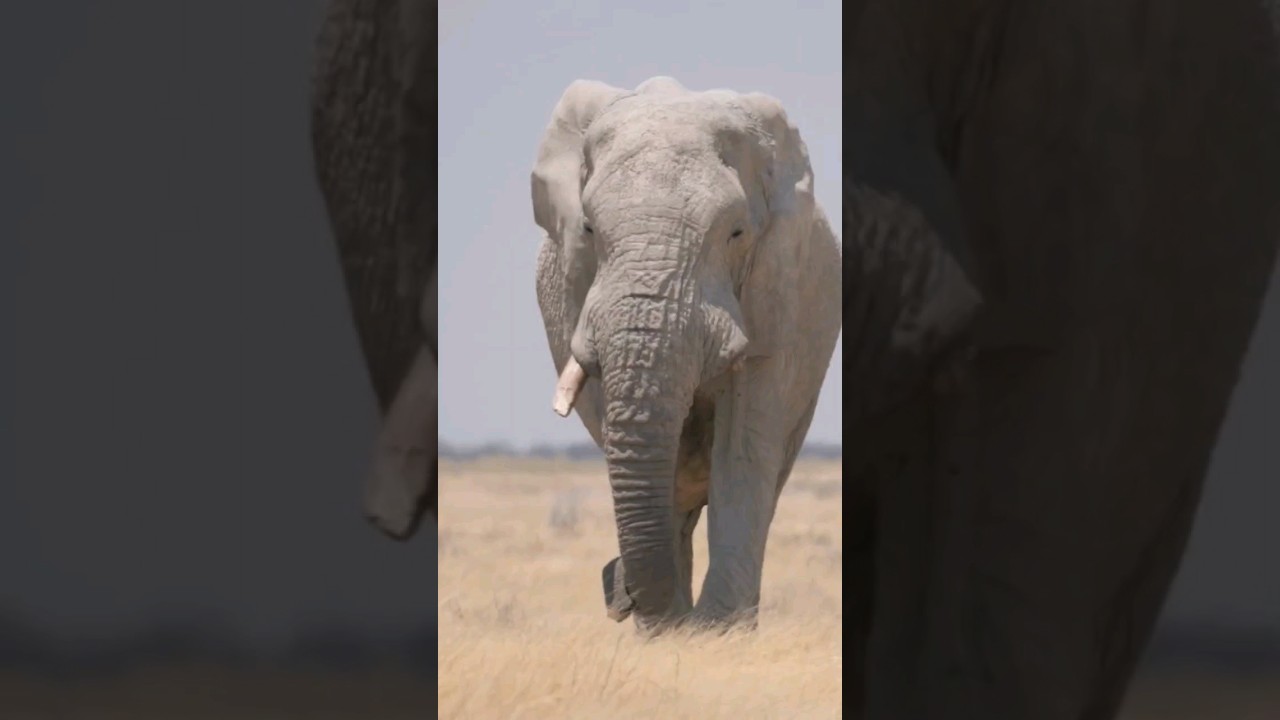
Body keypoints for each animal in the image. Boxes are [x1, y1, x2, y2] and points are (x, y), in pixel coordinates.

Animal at [530, 77, 842, 631]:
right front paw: (672, 632)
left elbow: (744, 443)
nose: (616, 595)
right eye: (588, 229)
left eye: (736, 233)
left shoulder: (777, 282)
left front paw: (720, 631)